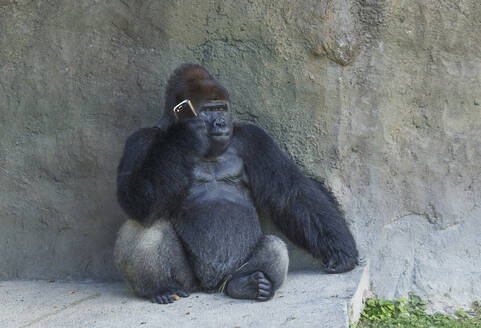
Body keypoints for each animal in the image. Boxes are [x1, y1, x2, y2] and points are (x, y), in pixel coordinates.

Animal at [114, 64, 358, 304]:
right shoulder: (139, 140)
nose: (221, 123)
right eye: (207, 110)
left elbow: (291, 194)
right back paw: (161, 288)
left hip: (233, 272)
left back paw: (247, 285)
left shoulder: (254, 139)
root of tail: (211, 287)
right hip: (188, 283)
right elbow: (135, 201)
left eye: (222, 109)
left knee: (273, 246)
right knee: (146, 225)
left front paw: (340, 249)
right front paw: (183, 136)